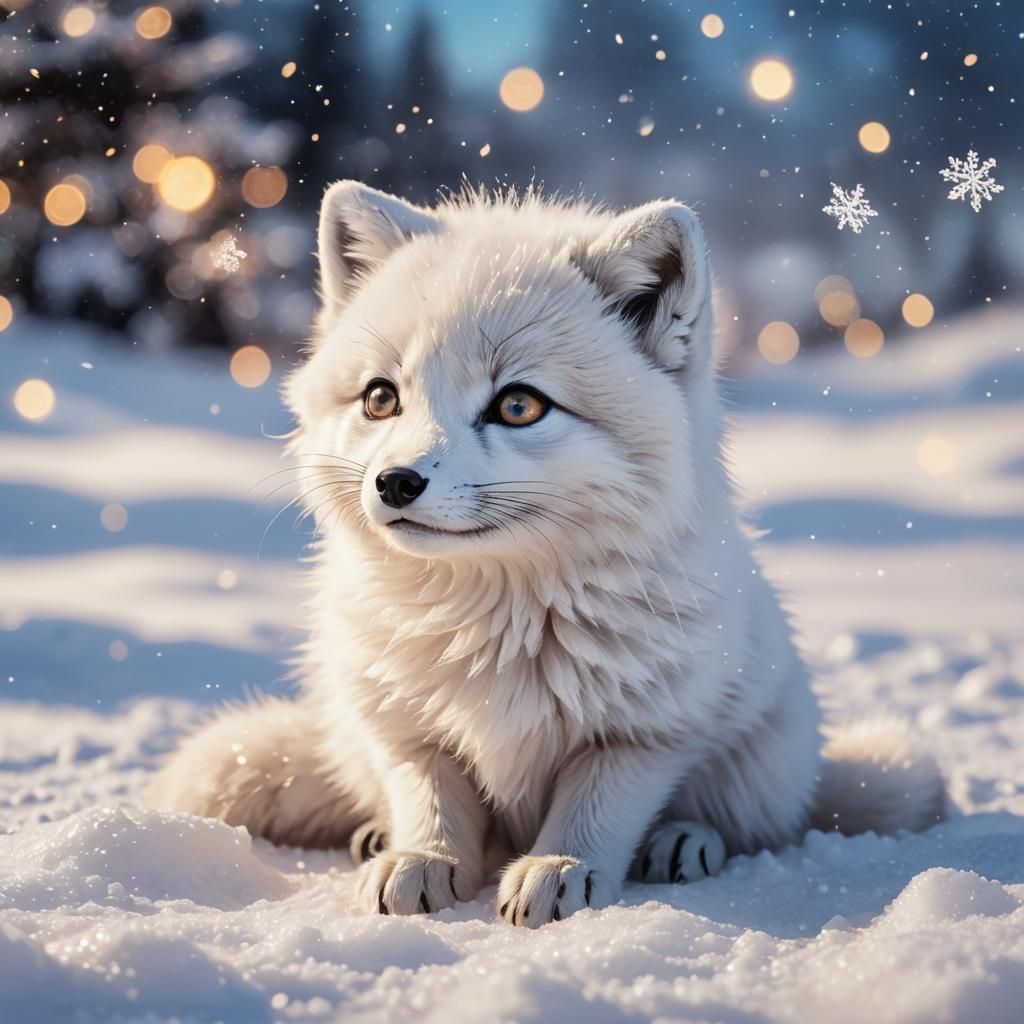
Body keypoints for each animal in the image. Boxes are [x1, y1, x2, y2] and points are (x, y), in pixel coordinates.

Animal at [146, 181, 945, 926]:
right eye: (380, 398)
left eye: (519, 405)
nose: (395, 482)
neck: (497, 617)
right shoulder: (403, 726)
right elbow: (430, 798)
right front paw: (425, 861)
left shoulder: (642, 734)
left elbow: (594, 809)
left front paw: (561, 869)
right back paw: (377, 837)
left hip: (761, 754)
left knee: (740, 823)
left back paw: (684, 841)